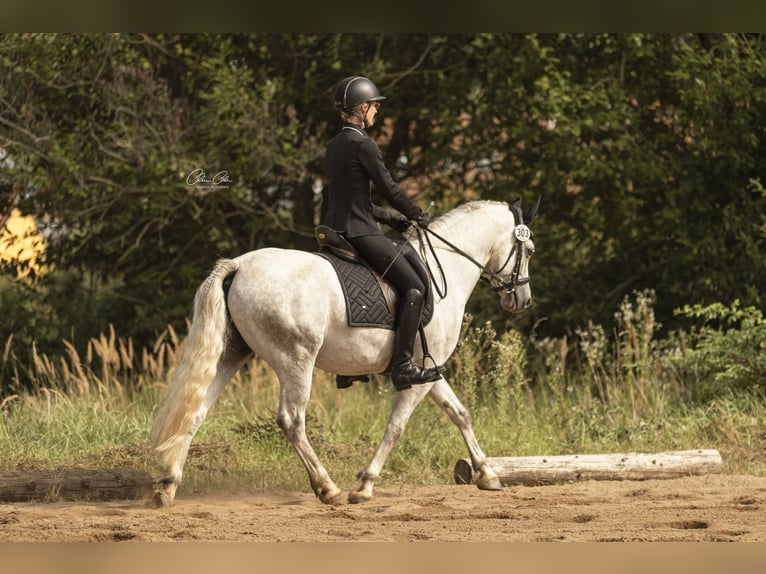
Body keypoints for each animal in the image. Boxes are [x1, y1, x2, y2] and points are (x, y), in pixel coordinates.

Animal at [147, 200, 536, 506]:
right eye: (529, 250)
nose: (522, 299)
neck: (446, 270)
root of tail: (239, 265)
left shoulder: (429, 368)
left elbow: (460, 413)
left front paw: (487, 473)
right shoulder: (418, 374)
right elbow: (396, 426)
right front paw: (364, 485)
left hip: (230, 356)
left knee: (195, 413)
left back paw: (167, 487)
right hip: (296, 359)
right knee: (292, 420)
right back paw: (327, 488)